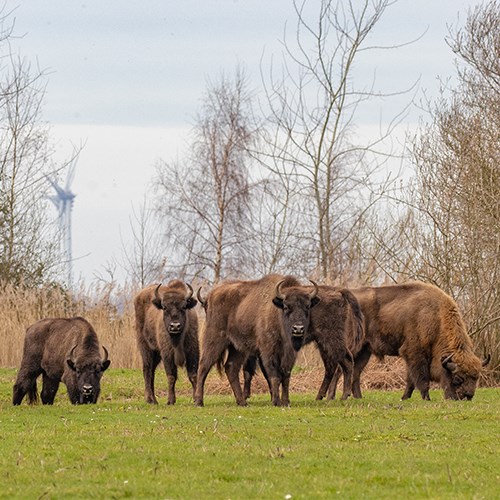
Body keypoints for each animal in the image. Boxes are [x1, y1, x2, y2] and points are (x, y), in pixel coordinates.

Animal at [192, 274, 314, 406]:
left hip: (238, 348)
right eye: (286, 307)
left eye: (307, 307)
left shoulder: (290, 354)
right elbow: (274, 375)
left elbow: (285, 377)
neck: (276, 311)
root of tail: (211, 296)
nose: (298, 328)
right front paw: (276, 401)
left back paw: (242, 402)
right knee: (204, 366)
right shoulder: (267, 351)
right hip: (214, 340)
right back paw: (199, 401)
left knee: (231, 368)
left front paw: (286, 402)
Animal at [328, 282, 488, 402]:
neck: (436, 317)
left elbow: (410, 380)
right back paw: (334, 397)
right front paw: (426, 398)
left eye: (476, 377)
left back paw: (358, 397)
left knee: (355, 372)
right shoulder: (415, 353)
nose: (467, 396)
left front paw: (404, 397)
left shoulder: (412, 357)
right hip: (352, 347)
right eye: (458, 378)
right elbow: (421, 379)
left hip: (364, 351)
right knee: (341, 369)